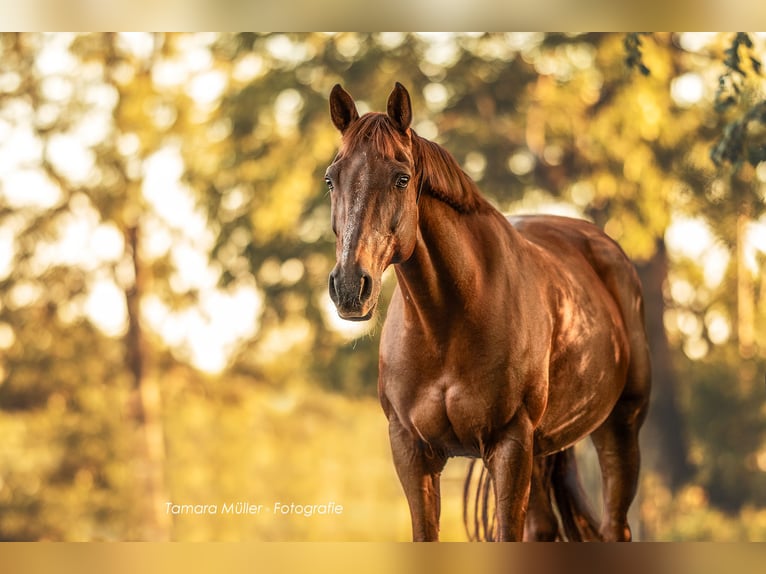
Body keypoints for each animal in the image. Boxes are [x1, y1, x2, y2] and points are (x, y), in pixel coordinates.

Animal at [325, 82, 651, 542]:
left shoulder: (510, 445)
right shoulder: (411, 451)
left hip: (619, 428)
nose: (351, 287)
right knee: (543, 527)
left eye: (401, 178)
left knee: (613, 526)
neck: (446, 326)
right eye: (330, 179)